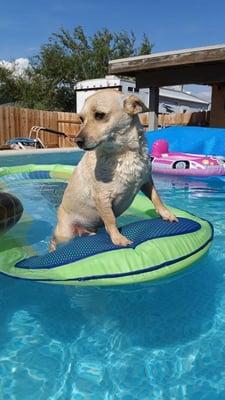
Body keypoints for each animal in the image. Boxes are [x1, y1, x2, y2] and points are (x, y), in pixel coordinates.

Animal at [50, 90, 177, 250]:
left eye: (99, 115)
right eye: (81, 118)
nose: (77, 141)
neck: (124, 152)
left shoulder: (146, 181)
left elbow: (156, 198)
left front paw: (167, 214)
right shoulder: (102, 198)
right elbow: (110, 220)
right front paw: (118, 238)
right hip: (65, 235)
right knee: (54, 241)